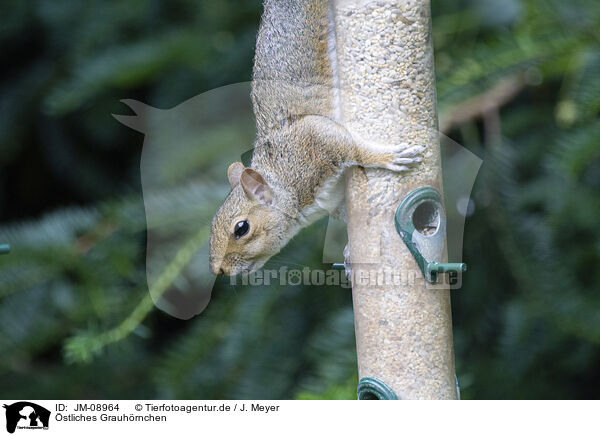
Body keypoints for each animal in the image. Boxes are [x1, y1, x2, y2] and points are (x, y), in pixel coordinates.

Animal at [210, 0, 422, 276]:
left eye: (241, 228)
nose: (219, 271)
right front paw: (349, 253)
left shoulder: (313, 140)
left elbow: (352, 148)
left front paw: (386, 157)